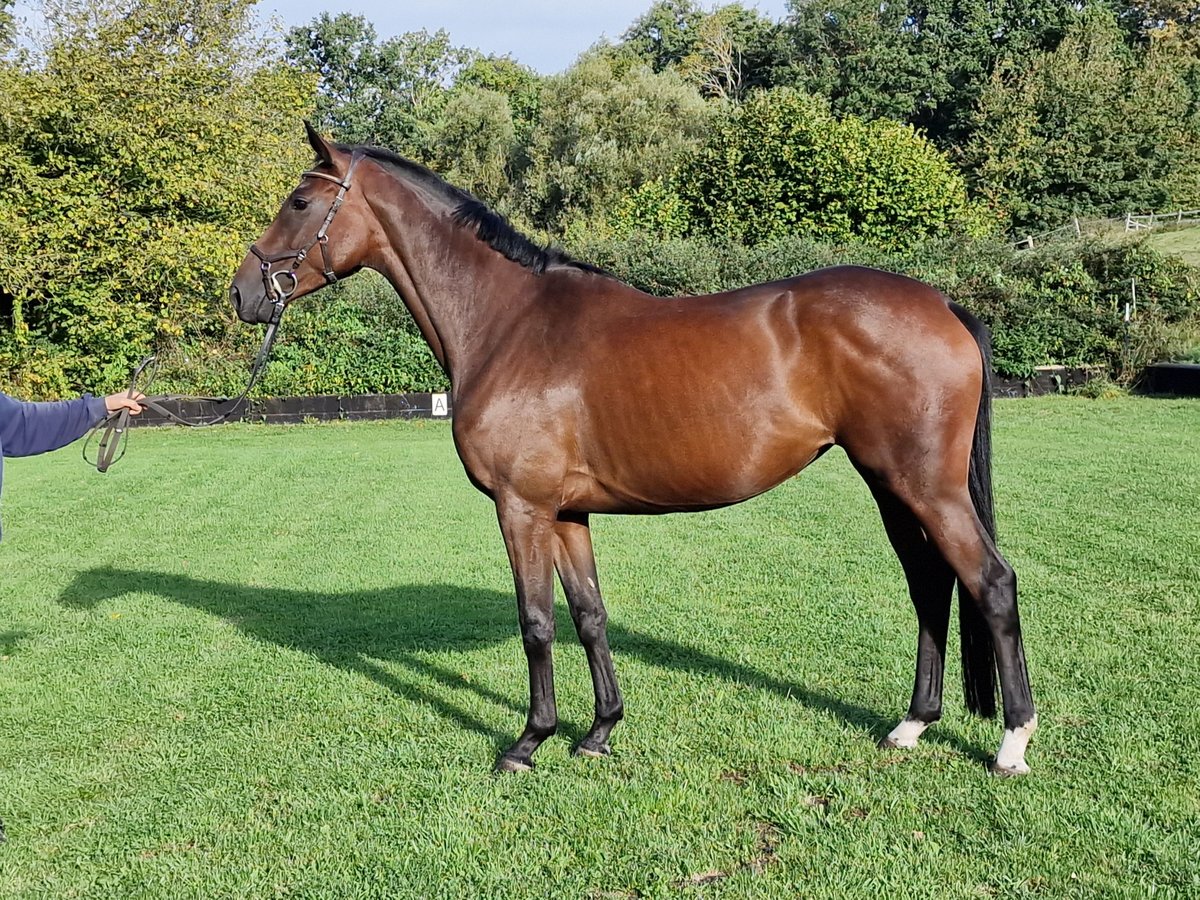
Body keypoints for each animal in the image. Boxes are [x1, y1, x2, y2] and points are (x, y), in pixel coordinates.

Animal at [229, 123, 1036, 777]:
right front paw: (599, 733)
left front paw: (528, 742)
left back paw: (1012, 742)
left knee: (990, 581)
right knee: (930, 585)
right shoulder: (565, 514)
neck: (508, 324)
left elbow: (536, 623)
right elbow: (588, 615)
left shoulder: (521, 509)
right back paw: (912, 725)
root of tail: (941, 303)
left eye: (298, 202)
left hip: (924, 485)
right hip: (888, 482)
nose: (243, 293)